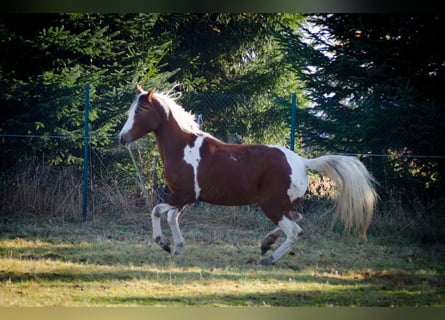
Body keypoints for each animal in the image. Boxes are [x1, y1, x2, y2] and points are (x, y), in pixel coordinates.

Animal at [119, 85, 376, 264]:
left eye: (140, 111)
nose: (121, 138)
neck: (183, 148)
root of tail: (302, 162)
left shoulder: (182, 195)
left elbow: (156, 211)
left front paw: (163, 244)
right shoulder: (184, 197)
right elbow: (172, 217)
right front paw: (178, 247)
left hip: (271, 206)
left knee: (295, 231)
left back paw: (268, 258)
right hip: (283, 205)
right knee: (298, 219)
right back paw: (265, 244)